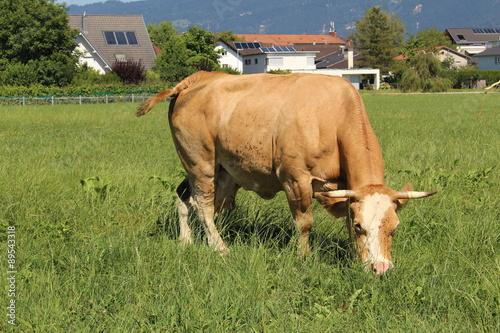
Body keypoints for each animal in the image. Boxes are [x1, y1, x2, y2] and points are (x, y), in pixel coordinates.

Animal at [136, 71, 434, 274]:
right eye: (363, 226)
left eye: (395, 228)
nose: (381, 269)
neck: (333, 117)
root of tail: (194, 79)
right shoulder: (296, 179)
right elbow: (305, 223)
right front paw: (304, 257)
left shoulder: (346, 187)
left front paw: (354, 257)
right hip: (201, 162)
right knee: (204, 206)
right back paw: (219, 247)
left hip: (214, 169)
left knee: (184, 197)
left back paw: (186, 241)